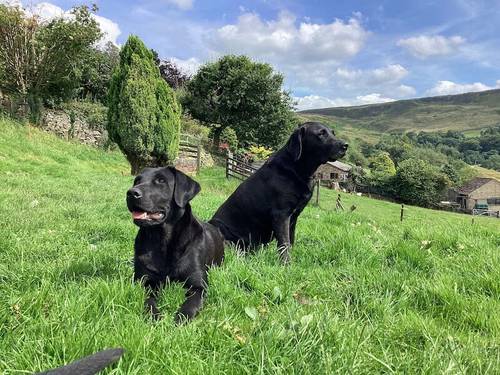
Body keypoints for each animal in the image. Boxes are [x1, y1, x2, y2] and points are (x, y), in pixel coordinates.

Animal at [127, 167, 225, 324]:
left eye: (161, 181)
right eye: (137, 181)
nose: (131, 193)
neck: (162, 239)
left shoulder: (199, 286)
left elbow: (191, 303)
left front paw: (180, 319)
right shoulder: (145, 281)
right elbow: (148, 299)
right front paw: (154, 315)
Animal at [211, 123, 348, 264]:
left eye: (333, 133)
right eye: (321, 134)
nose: (345, 145)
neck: (297, 168)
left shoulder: (294, 216)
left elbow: (291, 240)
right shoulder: (281, 215)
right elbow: (284, 243)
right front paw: (286, 264)